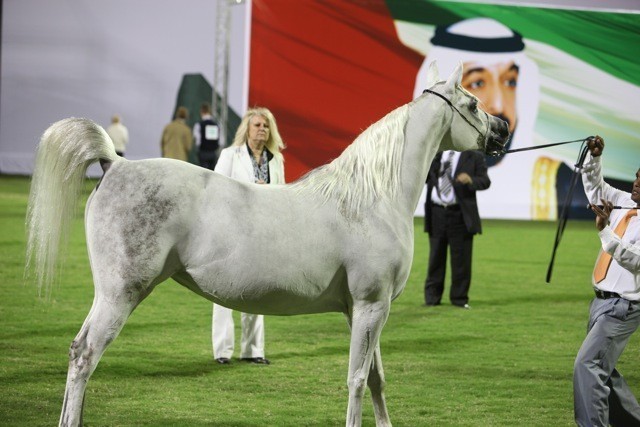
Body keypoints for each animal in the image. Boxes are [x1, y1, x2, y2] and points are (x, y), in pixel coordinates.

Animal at [25, 62, 508, 427]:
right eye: (472, 104)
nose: (503, 129)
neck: (371, 198)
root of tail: (115, 164)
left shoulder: (362, 309)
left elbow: (375, 379)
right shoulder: (373, 305)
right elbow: (356, 379)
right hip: (119, 295)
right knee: (84, 356)